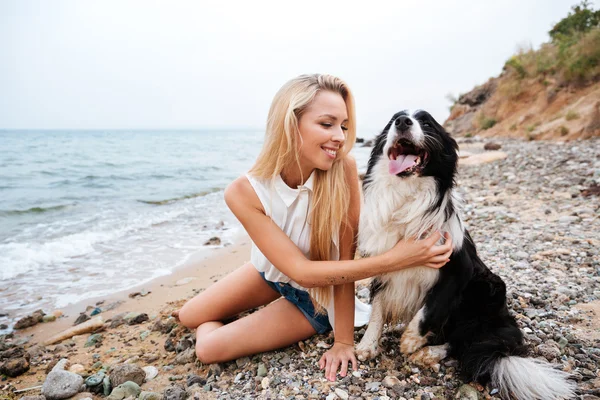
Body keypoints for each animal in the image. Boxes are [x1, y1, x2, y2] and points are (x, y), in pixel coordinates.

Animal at [354, 110, 576, 400]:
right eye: (393, 120)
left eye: (426, 123)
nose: (403, 122)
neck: (407, 196)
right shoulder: (383, 263)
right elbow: (378, 310)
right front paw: (368, 345)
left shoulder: (459, 269)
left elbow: (432, 306)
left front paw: (412, 340)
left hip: (485, 289)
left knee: (464, 342)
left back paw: (427, 351)